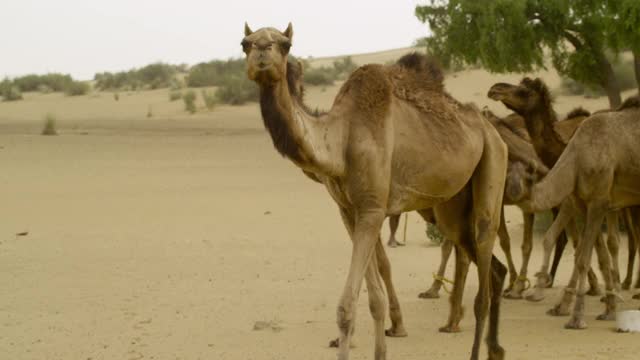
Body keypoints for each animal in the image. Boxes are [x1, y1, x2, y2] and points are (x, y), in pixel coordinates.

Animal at [242, 23, 508, 360]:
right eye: (244, 43)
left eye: (285, 44)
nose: (262, 52)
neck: (342, 138)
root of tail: (491, 127)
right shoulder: (349, 212)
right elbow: (373, 298)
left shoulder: (372, 208)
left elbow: (347, 306)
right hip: (453, 205)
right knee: (492, 268)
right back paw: (494, 348)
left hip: (493, 162)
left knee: (484, 270)